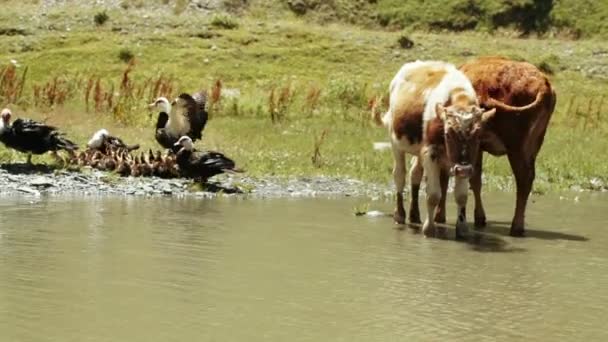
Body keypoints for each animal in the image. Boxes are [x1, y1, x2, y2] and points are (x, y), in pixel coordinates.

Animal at [372, 60, 496, 238]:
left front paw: (462, 227)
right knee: (400, 175)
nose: (463, 169)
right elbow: (433, 195)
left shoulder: (465, 163)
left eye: (478, 135)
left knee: (415, 174)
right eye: (448, 134)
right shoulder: (430, 153)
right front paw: (429, 229)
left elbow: (461, 196)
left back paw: (414, 215)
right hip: (396, 144)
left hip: (418, 151)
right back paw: (400, 215)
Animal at [460, 56, 556, 238]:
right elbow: (476, 179)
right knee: (529, 179)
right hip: (532, 147)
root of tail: (543, 86)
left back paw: (516, 227)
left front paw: (479, 218)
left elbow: (474, 179)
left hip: (515, 148)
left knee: (523, 180)